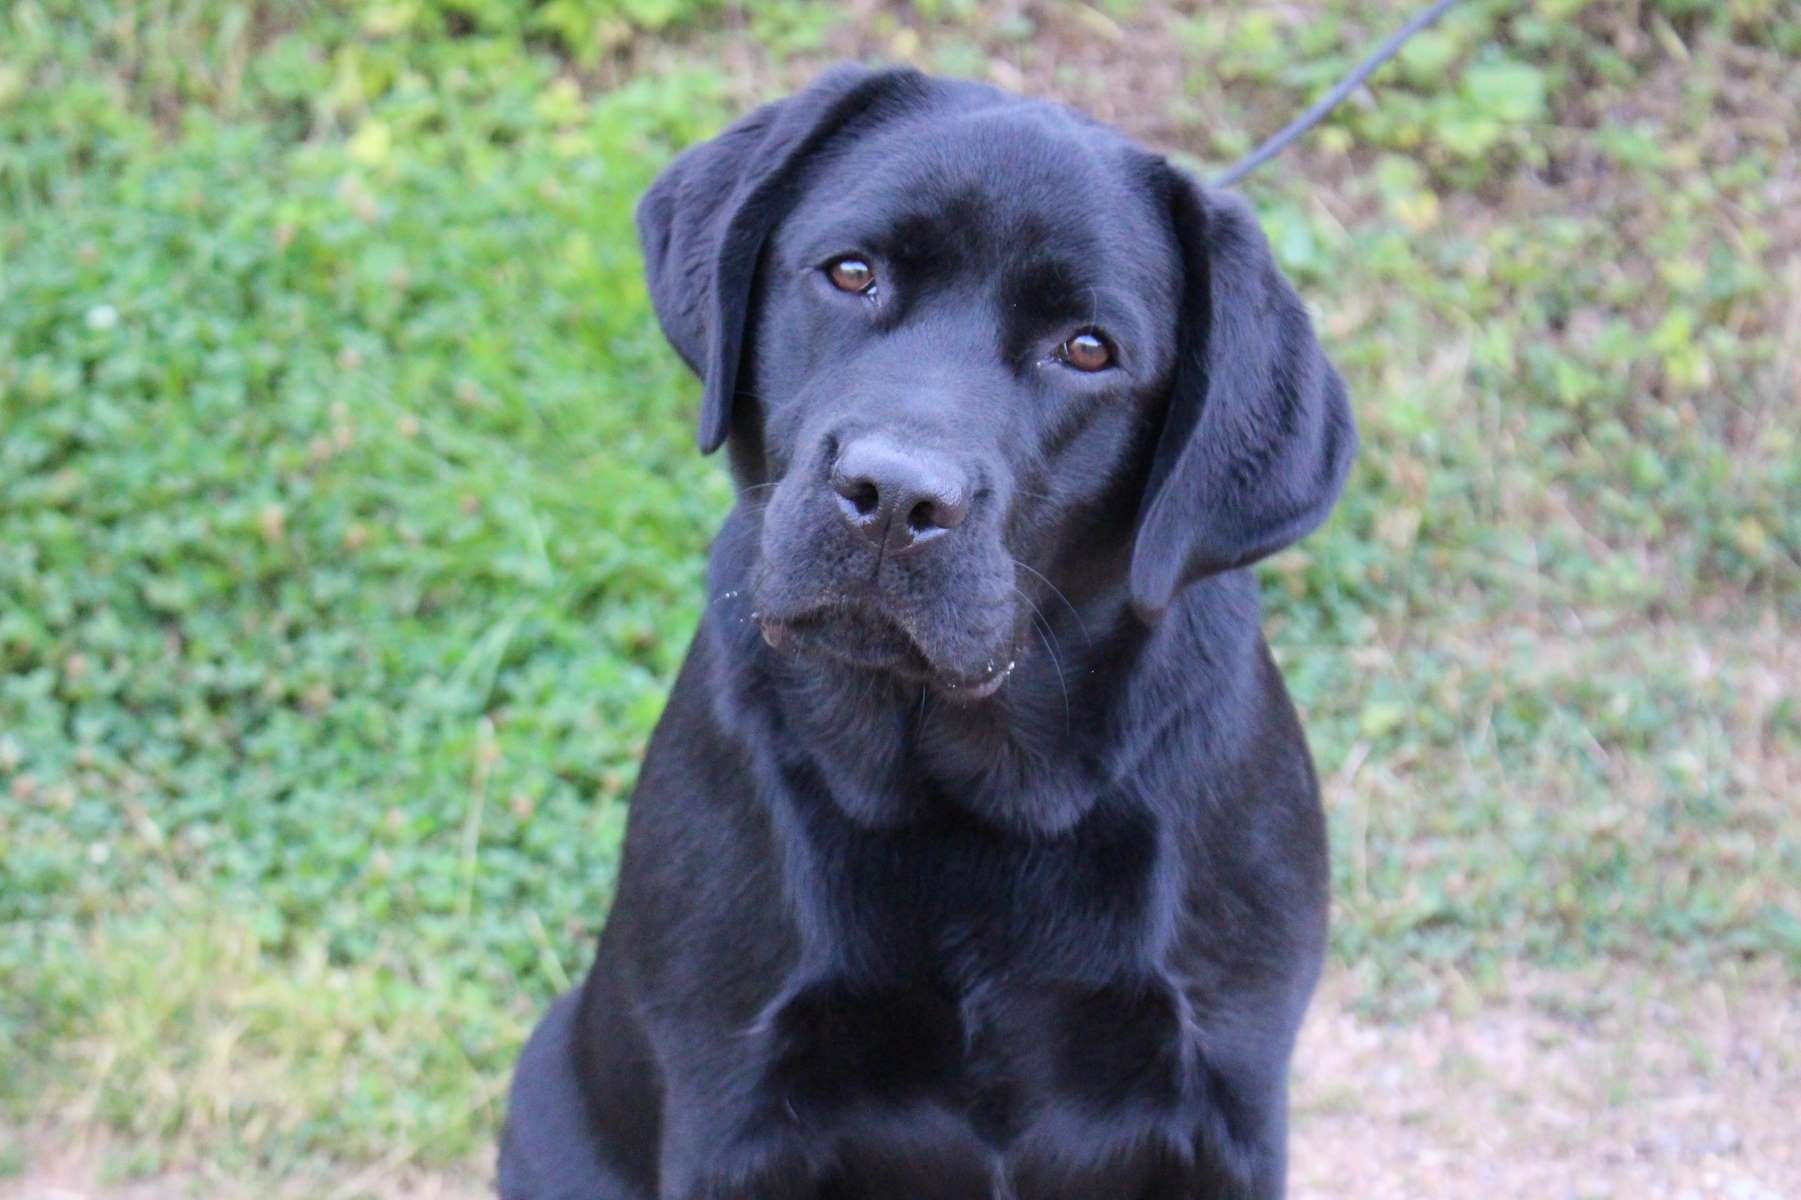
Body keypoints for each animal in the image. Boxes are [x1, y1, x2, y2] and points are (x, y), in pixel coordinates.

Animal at [493, 67, 1354, 1196]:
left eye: (1087, 349)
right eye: (851, 272)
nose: (894, 495)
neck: (967, 806)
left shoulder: (1224, 1097)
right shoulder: (731, 1100)